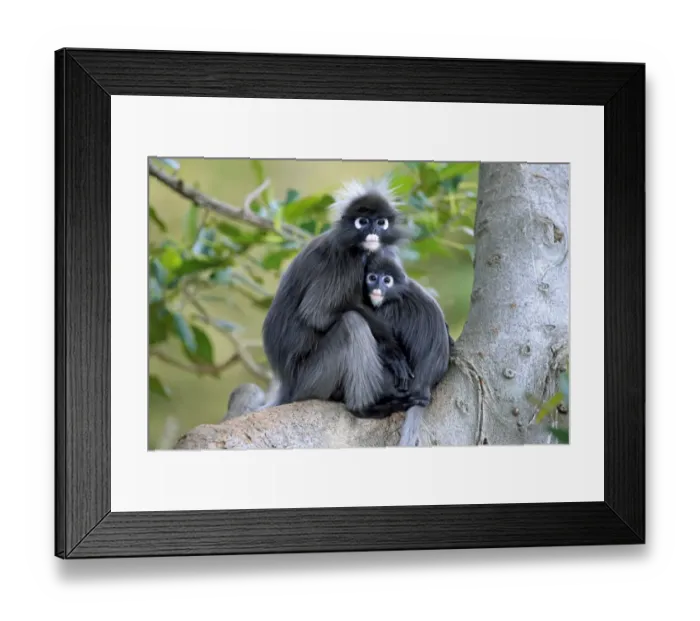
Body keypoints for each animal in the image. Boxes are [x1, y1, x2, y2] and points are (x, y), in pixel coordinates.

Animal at [260, 178, 420, 416]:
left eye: (380, 222)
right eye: (362, 222)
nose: (373, 231)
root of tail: (287, 387)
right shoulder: (344, 261)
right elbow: (316, 313)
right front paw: (389, 347)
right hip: (311, 381)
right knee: (351, 323)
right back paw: (365, 408)